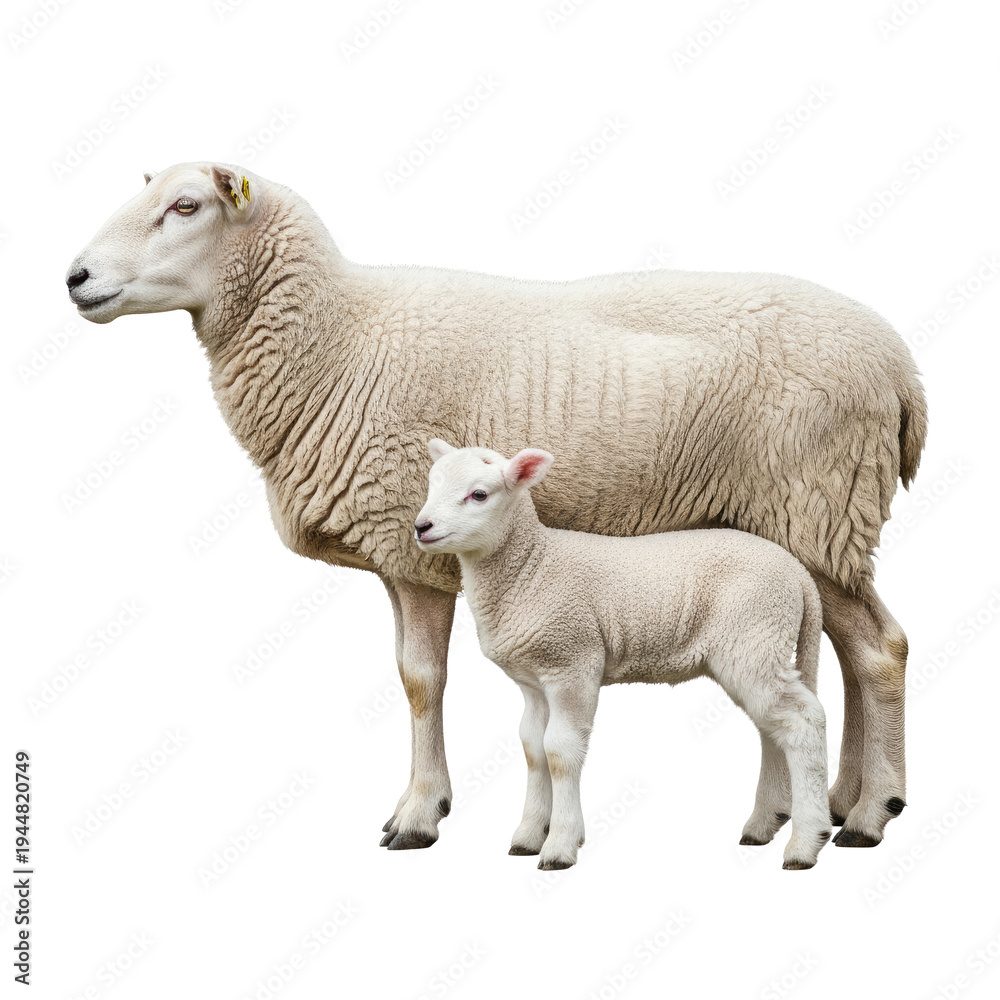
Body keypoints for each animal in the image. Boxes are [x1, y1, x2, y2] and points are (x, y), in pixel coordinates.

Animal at [414, 440, 832, 870]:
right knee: (774, 728)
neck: (532, 564)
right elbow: (533, 749)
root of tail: (799, 574)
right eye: (431, 484)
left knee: (804, 722)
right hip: (757, 649)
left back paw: (806, 842)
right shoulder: (533, 680)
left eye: (479, 494)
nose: (421, 527)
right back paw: (763, 825)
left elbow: (559, 751)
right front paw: (528, 836)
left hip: (755, 635)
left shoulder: (573, 661)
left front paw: (560, 844)